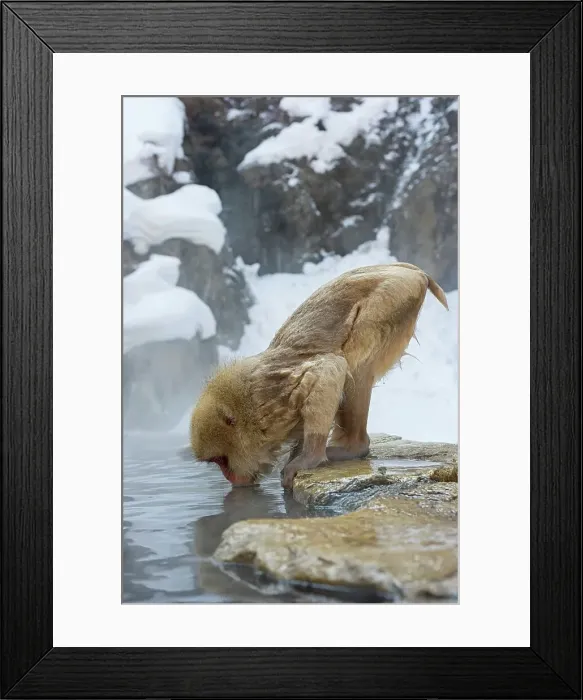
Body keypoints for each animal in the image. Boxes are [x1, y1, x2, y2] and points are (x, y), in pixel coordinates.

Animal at [190, 262, 449, 489]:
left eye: (222, 461)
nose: (230, 478)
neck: (250, 412)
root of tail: (410, 270)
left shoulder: (273, 399)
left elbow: (329, 369)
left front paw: (309, 456)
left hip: (394, 295)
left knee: (353, 363)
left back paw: (352, 447)